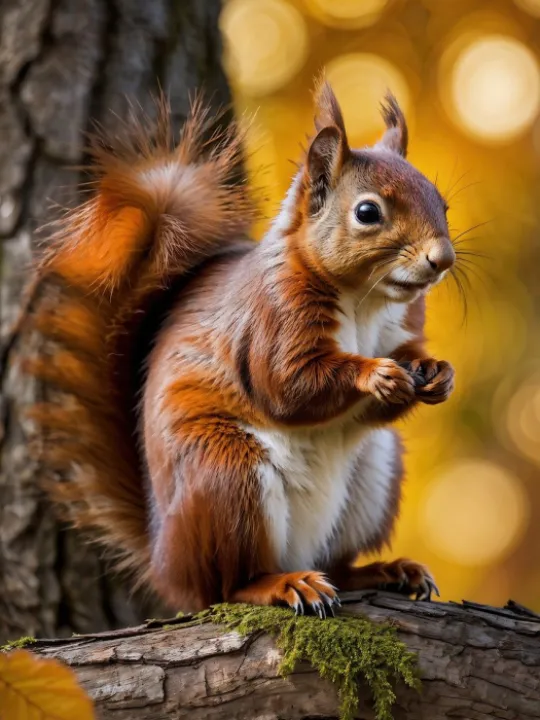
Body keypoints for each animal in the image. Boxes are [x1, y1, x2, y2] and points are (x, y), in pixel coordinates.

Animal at [25, 81, 455, 617]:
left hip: (373, 474)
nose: (443, 259)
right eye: (367, 212)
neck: (365, 299)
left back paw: (384, 571)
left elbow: (402, 362)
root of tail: (166, 563)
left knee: (335, 565)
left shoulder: (400, 329)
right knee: (227, 585)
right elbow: (288, 384)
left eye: (443, 204)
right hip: (227, 476)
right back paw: (282, 584)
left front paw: (436, 373)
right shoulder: (270, 319)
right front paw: (375, 374)